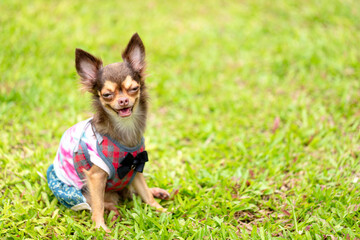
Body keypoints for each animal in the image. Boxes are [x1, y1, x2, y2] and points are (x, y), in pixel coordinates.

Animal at [47, 32, 170, 232]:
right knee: (101, 202)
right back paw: (113, 212)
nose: (123, 101)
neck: (124, 128)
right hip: (76, 192)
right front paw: (100, 228)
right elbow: (97, 205)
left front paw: (160, 210)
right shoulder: (96, 177)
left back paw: (157, 192)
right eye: (107, 95)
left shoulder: (136, 167)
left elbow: (145, 193)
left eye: (134, 88)